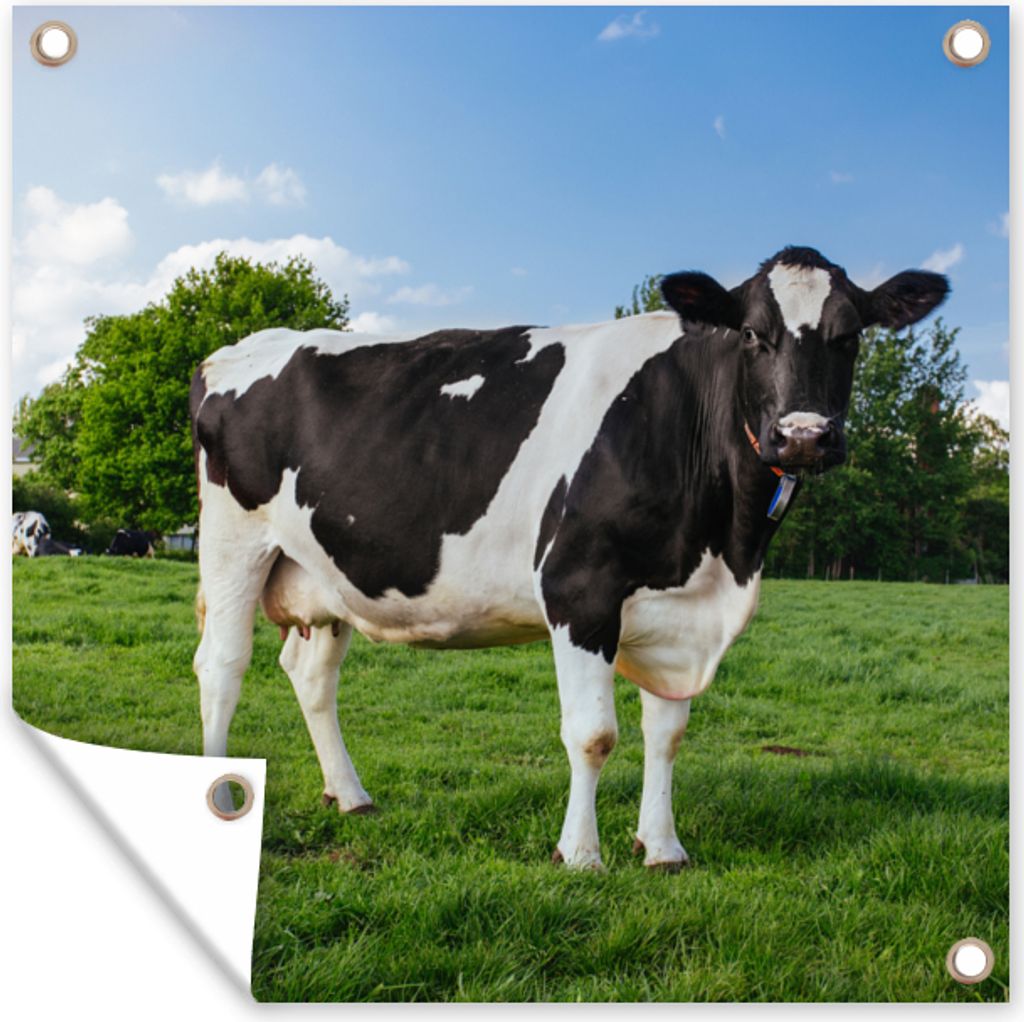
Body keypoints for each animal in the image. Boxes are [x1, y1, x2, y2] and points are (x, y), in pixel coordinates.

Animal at [190, 246, 948, 870]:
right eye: (753, 334)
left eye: (850, 336)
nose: (804, 436)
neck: (722, 550)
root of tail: (238, 348)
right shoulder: (579, 589)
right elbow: (593, 735)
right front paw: (580, 854)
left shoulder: (675, 609)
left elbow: (667, 733)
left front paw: (663, 847)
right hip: (233, 543)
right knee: (222, 665)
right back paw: (220, 799)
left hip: (326, 572)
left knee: (311, 676)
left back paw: (349, 794)